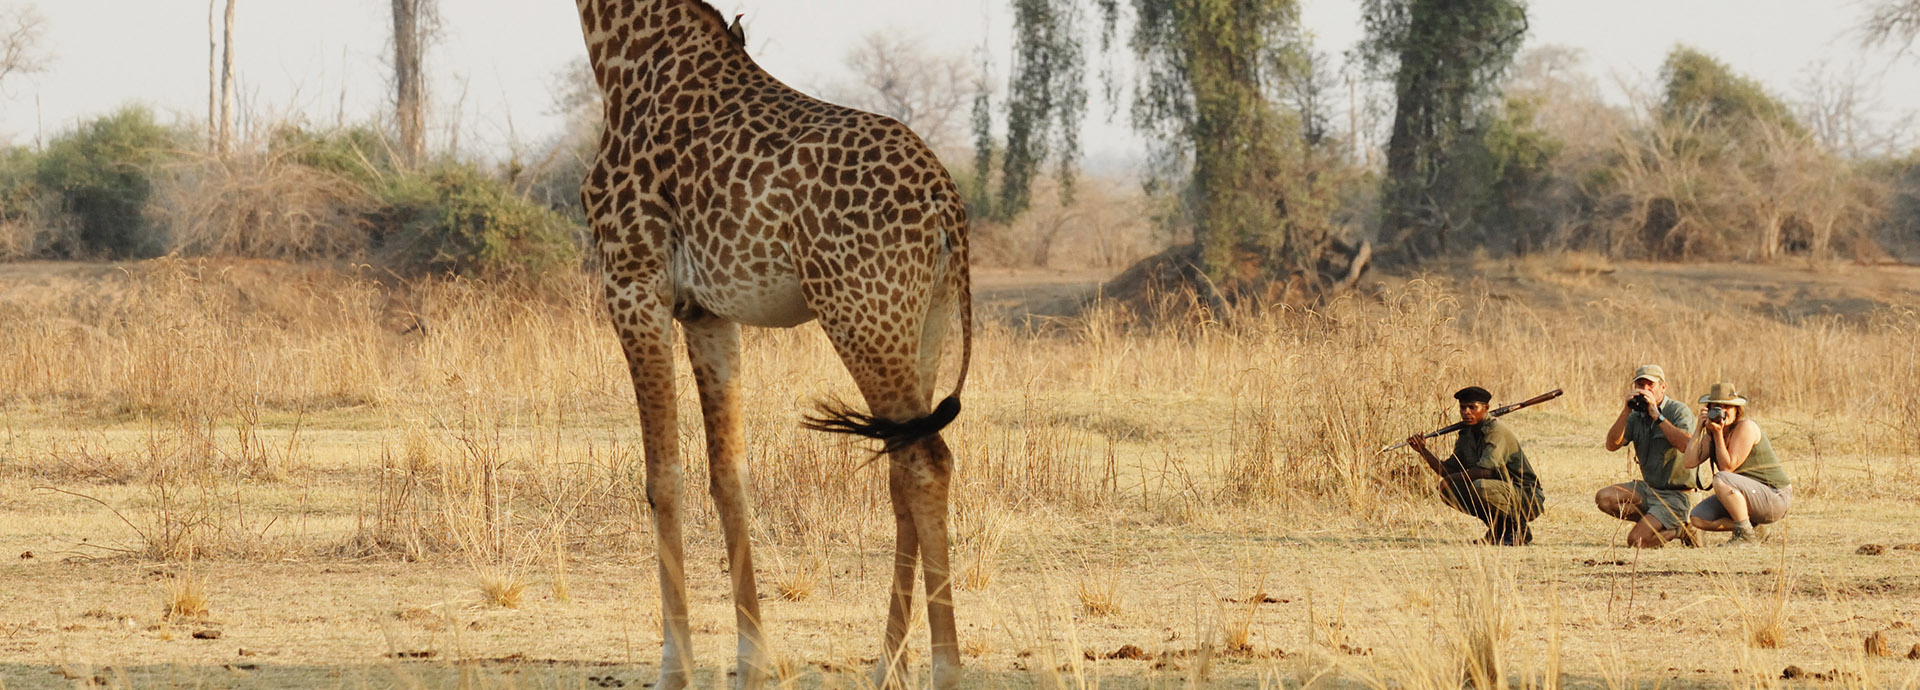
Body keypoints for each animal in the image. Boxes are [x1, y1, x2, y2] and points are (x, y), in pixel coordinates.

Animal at [572, 2, 973, 689]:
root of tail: (945, 203)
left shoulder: (632, 282)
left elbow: (662, 477)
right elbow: (727, 472)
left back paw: (944, 668)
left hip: (861, 313)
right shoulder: (706, 311)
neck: (623, 57)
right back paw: (885, 665)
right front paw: (752, 657)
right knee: (903, 462)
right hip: (926, 321)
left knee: (926, 462)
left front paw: (674, 666)